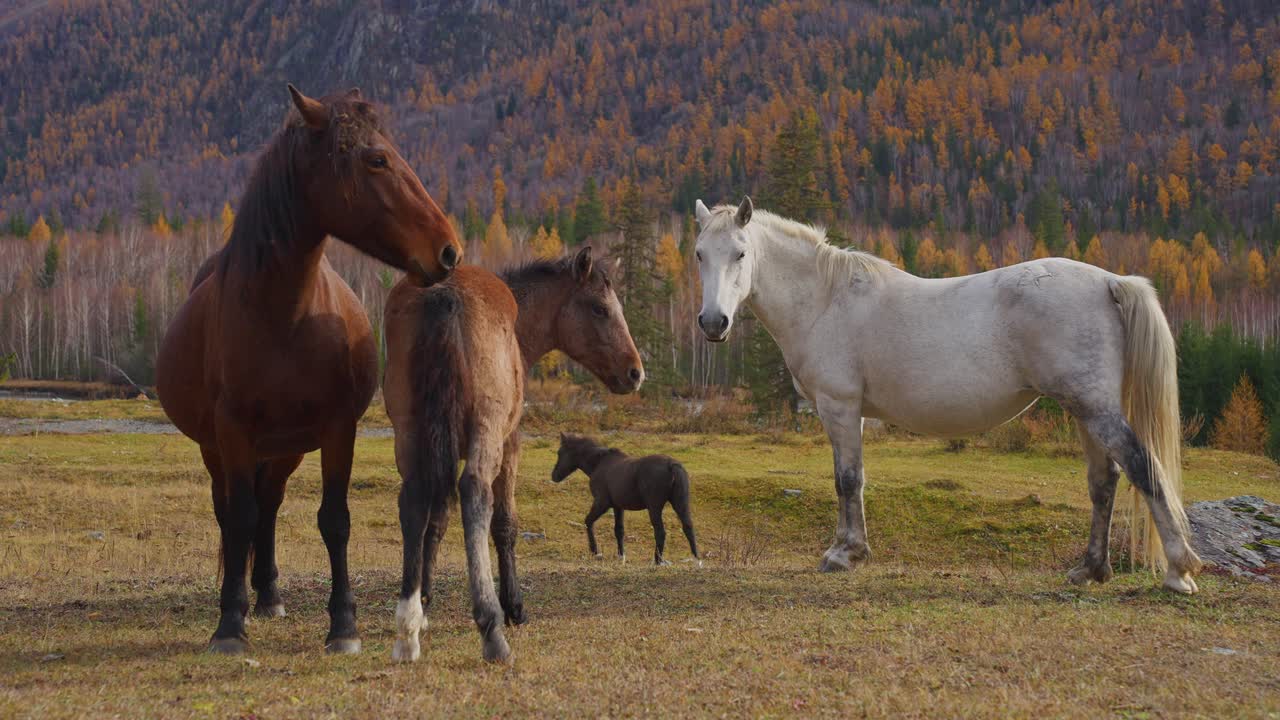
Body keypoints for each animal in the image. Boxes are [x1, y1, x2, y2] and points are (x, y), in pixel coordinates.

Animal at [155, 85, 462, 655]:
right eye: (376, 159)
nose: (448, 249)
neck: (285, 316)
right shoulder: (231, 432)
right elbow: (239, 518)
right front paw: (229, 625)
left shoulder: (337, 429)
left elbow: (333, 520)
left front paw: (343, 625)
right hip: (222, 448)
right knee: (233, 512)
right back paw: (242, 599)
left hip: (287, 449)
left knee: (270, 504)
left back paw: (269, 595)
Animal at [383, 246, 643, 664]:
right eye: (600, 308)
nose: (635, 372)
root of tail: (443, 296)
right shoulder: (510, 446)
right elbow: (504, 525)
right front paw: (513, 606)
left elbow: (436, 520)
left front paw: (424, 603)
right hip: (487, 437)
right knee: (475, 494)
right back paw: (490, 626)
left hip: (409, 434)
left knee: (413, 501)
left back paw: (407, 627)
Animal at [551, 434, 700, 566]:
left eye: (560, 452)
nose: (554, 475)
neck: (599, 463)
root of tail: (671, 464)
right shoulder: (618, 506)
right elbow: (619, 530)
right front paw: (621, 555)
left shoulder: (602, 503)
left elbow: (588, 521)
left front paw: (594, 550)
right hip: (680, 504)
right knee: (688, 527)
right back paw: (696, 558)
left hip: (654, 508)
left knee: (660, 532)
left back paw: (658, 561)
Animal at [692, 197, 1203, 594]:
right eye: (699, 255)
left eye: (740, 254)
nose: (713, 323)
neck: (825, 300)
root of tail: (1109, 282)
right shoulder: (850, 414)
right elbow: (851, 480)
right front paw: (849, 549)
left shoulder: (840, 408)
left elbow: (847, 480)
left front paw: (844, 554)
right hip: (1085, 410)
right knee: (1104, 481)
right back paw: (1091, 569)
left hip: (1095, 410)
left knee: (1142, 467)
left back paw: (1178, 571)